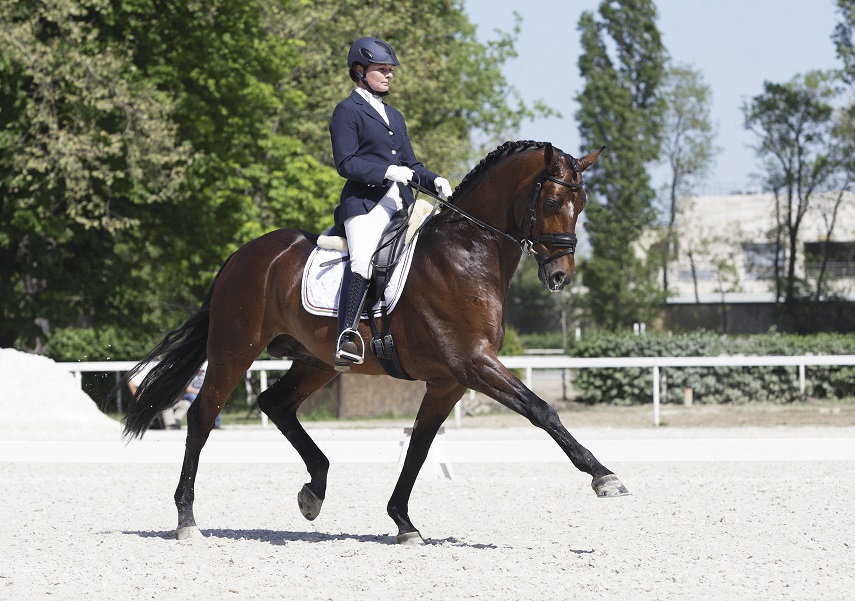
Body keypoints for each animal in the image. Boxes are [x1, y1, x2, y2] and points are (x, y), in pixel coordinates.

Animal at [110, 140, 629, 545]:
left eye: (582, 205)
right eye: (551, 202)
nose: (560, 277)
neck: (467, 253)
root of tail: (244, 254)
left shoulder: (449, 381)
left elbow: (419, 446)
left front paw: (403, 522)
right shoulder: (474, 364)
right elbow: (542, 410)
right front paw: (604, 477)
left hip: (316, 360)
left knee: (275, 403)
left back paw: (314, 491)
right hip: (234, 351)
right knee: (202, 418)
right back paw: (187, 520)